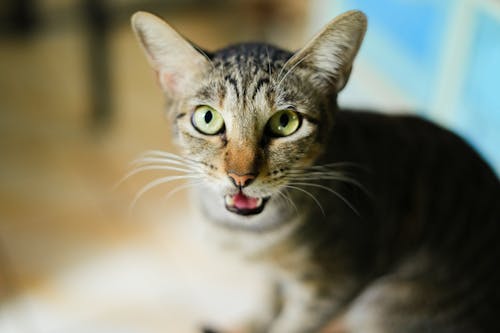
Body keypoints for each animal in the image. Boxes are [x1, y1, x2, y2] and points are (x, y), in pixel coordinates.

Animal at [131, 9, 500, 332]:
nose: (240, 177)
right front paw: (252, 321)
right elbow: (267, 298)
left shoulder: (333, 287)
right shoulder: (271, 274)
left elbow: (290, 325)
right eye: (207, 118)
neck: (250, 237)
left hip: (381, 302)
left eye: (285, 122)